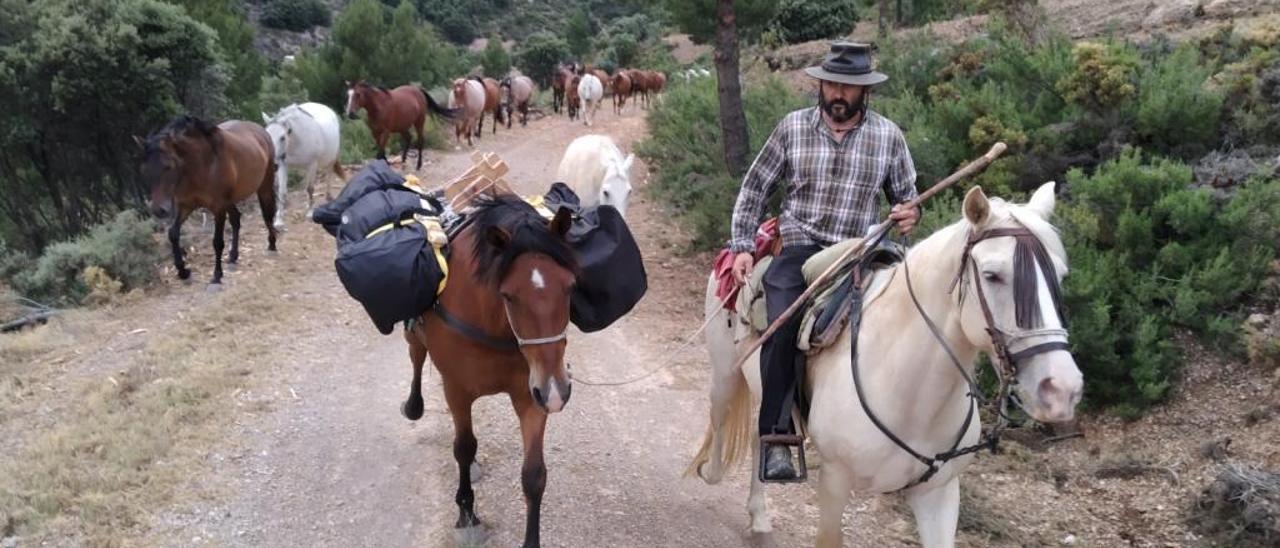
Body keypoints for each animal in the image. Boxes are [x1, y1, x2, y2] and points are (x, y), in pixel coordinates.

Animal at [133, 115, 276, 286]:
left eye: (168, 167)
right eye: (144, 170)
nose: (158, 210)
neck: (201, 165)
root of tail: (261, 131)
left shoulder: (218, 208)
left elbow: (217, 242)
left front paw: (216, 275)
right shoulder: (185, 205)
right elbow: (173, 234)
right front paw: (183, 271)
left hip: (264, 186)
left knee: (267, 214)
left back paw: (272, 244)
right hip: (229, 200)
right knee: (236, 219)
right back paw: (233, 256)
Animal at [401, 197, 578, 548]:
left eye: (570, 287)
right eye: (508, 295)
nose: (557, 390)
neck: (492, 322)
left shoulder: (531, 394)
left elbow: (534, 474)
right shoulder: (457, 389)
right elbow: (463, 447)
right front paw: (467, 514)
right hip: (416, 337)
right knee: (416, 357)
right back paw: (414, 405)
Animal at [691, 184, 1080, 548]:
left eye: (1061, 275)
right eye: (992, 275)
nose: (1062, 389)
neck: (910, 393)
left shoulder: (938, 494)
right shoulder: (834, 482)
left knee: (760, 437)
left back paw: (759, 518)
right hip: (725, 374)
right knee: (722, 421)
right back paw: (711, 471)